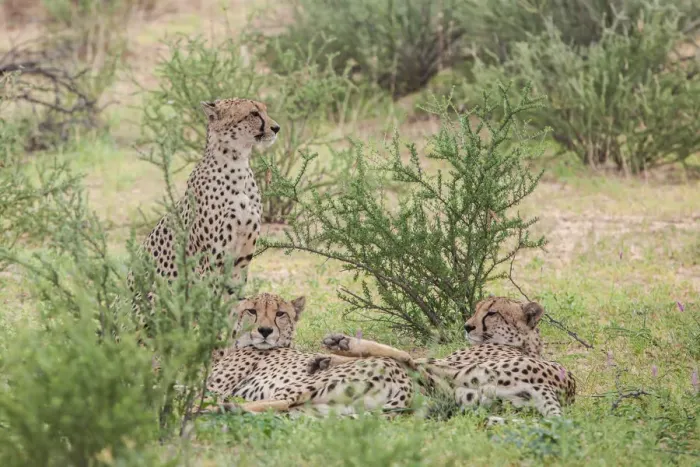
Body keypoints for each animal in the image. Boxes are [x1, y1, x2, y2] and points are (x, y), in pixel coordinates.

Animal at [128, 98, 280, 338]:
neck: (238, 164)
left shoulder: (240, 260)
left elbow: (234, 306)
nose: (276, 128)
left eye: (264, 110)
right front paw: (213, 341)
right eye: (253, 114)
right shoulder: (212, 262)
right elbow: (214, 306)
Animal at [202, 292, 415, 417]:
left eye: (280, 314)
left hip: (306, 385)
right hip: (323, 409)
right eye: (252, 311)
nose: (265, 331)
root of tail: (405, 382)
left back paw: (219, 409)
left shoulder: (213, 388)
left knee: (281, 402)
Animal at [311, 297, 576, 418]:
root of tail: (559, 387)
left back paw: (343, 343)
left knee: (407, 359)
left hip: (454, 370)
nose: (467, 326)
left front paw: (330, 355)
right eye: (477, 309)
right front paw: (322, 361)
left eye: (492, 313)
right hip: (456, 393)